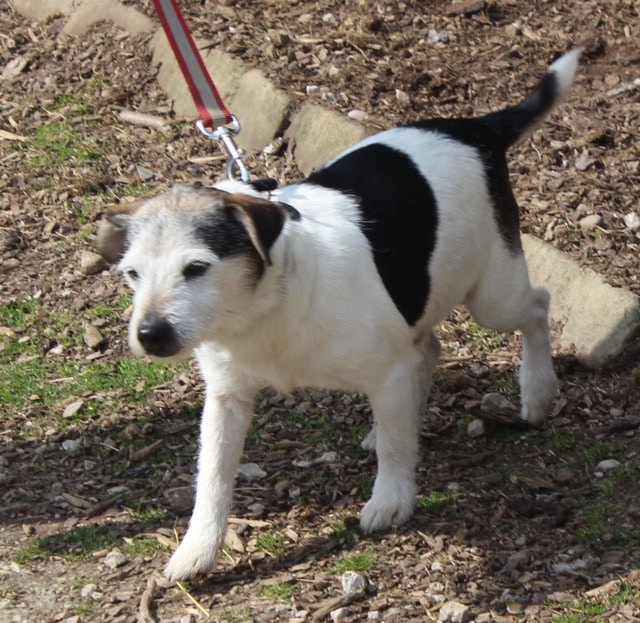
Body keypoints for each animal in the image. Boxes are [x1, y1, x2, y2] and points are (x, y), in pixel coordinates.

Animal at [96, 49, 580, 580]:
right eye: (132, 273)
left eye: (197, 268)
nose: (149, 334)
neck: (270, 305)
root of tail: (474, 128)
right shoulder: (227, 399)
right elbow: (213, 478)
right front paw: (197, 549)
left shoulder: (385, 371)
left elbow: (395, 449)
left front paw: (390, 500)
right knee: (428, 347)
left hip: (493, 296)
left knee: (537, 305)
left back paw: (537, 390)